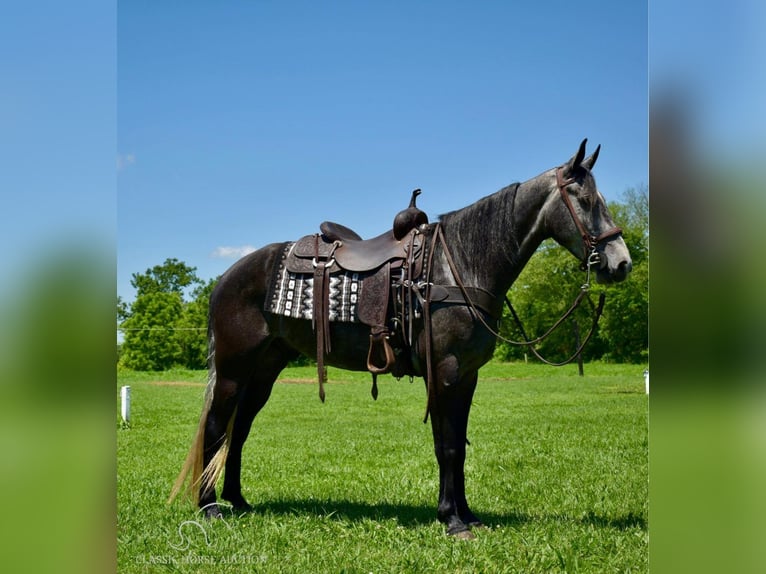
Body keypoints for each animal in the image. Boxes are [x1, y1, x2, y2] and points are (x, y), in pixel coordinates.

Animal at [172, 138, 636, 540]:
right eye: (586, 201)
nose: (622, 264)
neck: (459, 265)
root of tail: (227, 276)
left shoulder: (466, 378)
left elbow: (458, 446)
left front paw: (467, 514)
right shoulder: (444, 372)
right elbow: (447, 447)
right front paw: (453, 520)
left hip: (265, 369)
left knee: (240, 429)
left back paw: (238, 501)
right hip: (234, 368)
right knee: (216, 425)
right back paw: (209, 508)